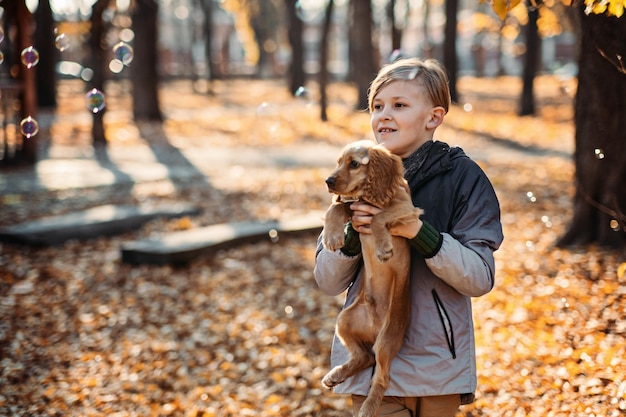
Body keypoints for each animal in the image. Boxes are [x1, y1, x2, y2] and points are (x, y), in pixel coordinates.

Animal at [320, 140, 422, 416]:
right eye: (338, 162)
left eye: (355, 164)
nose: (328, 181)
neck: (370, 194)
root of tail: (374, 329)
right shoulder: (355, 206)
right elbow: (338, 205)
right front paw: (332, 236)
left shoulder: (408, 209)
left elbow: (378, 216)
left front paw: (383, 247)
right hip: (344, 320)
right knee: (364, 357)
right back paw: (336, 374)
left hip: (387, 341)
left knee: (382, 377)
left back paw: (368, 406)